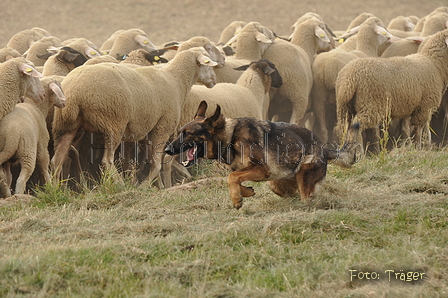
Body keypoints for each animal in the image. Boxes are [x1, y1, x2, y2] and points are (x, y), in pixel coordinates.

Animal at [51, 46, 218, 186]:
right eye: (208, 64)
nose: (214, 81)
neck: (175, 80)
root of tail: (75, 92)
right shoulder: (162, 127)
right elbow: (157, 164)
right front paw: (144, 186)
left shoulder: (148, 132)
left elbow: (151, 161)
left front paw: (158, 186)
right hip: (113, 124)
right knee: (107, 161)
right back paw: (121, 185)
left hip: (65, 126)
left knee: (56, 161)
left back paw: (56, 189)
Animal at [165, 101, 360, 208]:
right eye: (180, 132)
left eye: (187, 133)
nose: (167, 150)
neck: (230, 136)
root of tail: (322, 147)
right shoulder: (254, 171)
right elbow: (235, 177)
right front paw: (246, 192)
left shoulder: (261, 169)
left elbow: (232, 177)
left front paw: (236, 199)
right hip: (276, 183)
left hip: (303, 179)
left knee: (307, 198)